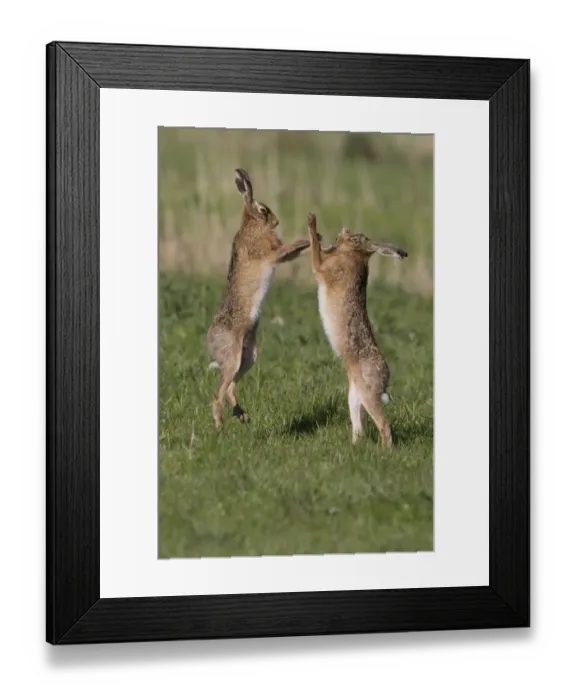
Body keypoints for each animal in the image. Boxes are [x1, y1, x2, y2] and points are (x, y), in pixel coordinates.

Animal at [207, 169, 313, 429]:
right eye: (263, 210)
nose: (276, 222)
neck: (251, 224)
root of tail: (209, 341)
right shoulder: (271, 254)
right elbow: (287, 249)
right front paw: (308, 238)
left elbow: (291, 253)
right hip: (233, 357)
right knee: (218, 393)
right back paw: (220, 427)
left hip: (248, 357)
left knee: (230, 388)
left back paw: (241, 415)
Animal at [306, 212, 408, 448]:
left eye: (355, 238)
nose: (340, 235)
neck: (355, 255)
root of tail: (385, 378)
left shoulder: (323, 268)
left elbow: (315, 252)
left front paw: (311, 222)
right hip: (354, 396)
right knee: (359, 428)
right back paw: (354, 447)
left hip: (367, 393)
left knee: (384, 425)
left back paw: (384, 451)